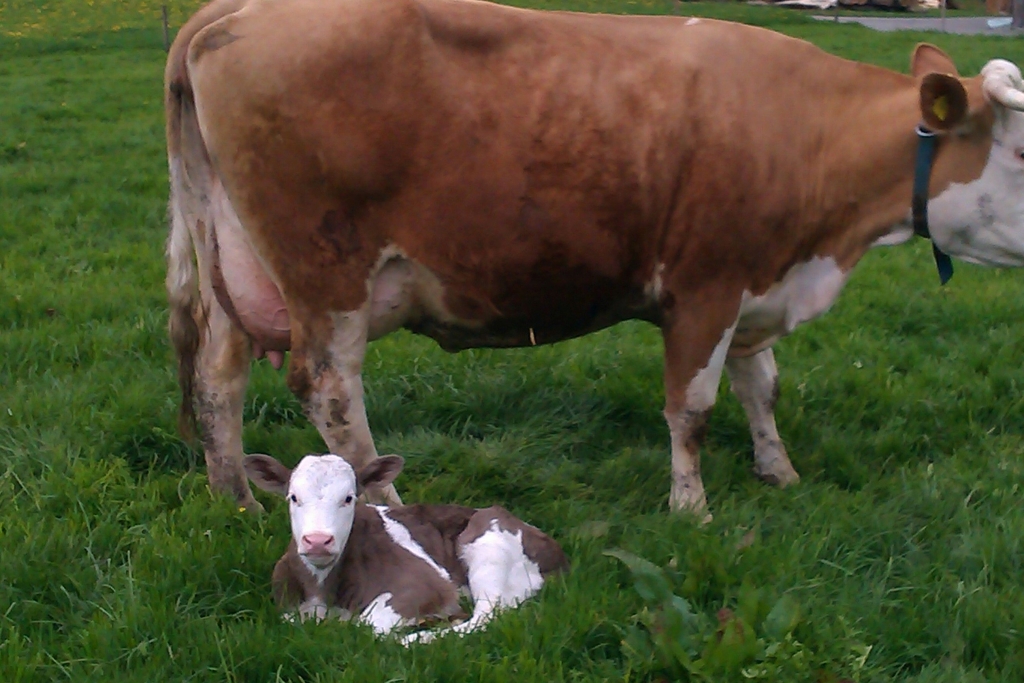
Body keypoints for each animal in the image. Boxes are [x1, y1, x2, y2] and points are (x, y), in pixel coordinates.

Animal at [163, 0, 1024, 518]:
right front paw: (692, 507)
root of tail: (234, 10)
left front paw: (778, 472)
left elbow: (763, 386)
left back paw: (234, 498)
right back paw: (388, 511)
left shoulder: (758, 281)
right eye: (1019, 151)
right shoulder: (704, 285)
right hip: (326, 267)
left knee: (217, 379)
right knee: (332, 392)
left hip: (238, 262)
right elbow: (692, 407)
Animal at [240, 454, 569, 643]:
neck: (324, 593)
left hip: (491, 546)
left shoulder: (428, 582)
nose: (318, 540)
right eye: (293, 497)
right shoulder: (288, 608)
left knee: (487, 615)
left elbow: (368, 626)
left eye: (348, 498)